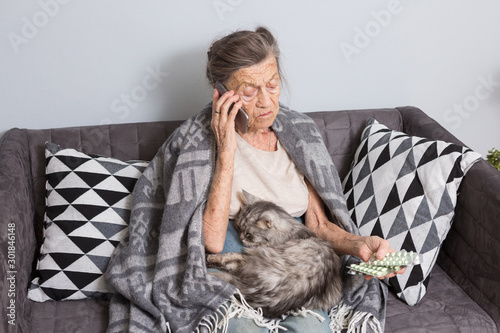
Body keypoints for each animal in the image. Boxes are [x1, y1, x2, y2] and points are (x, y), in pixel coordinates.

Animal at [205, 189, 342, 316]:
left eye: (249, 234)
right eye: (238, 227)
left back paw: (208, 259)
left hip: (257, 257)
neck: (288, 233)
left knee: (229, 262)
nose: (241, 238)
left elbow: (231, 256)